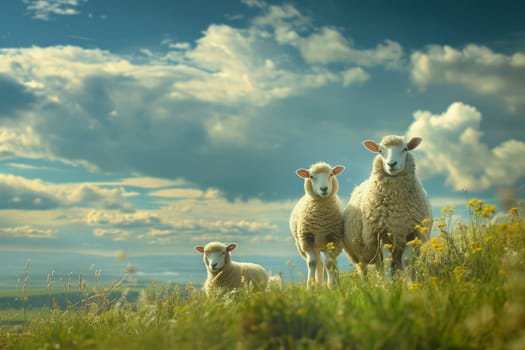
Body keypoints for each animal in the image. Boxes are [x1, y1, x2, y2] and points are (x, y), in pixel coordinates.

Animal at [342, 135, 432, 278]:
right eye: (380, 151)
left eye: (405, 149)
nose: (391, 164)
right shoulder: (382, 235)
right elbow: (387, 262)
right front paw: (390, 284)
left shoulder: (411, 233)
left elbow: (407, 261)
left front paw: (410, 282)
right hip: (359, 254)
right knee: (364, 269)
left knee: (385, 265)